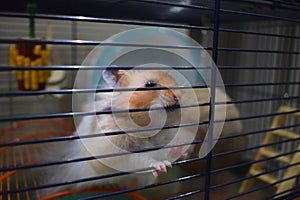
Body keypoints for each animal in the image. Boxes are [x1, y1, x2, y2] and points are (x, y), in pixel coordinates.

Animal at [39, 69, 199, 195]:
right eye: (149, 84)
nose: (179, 96)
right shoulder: (116, 151)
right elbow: (141, 159)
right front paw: (162, 166)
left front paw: (180, 151)